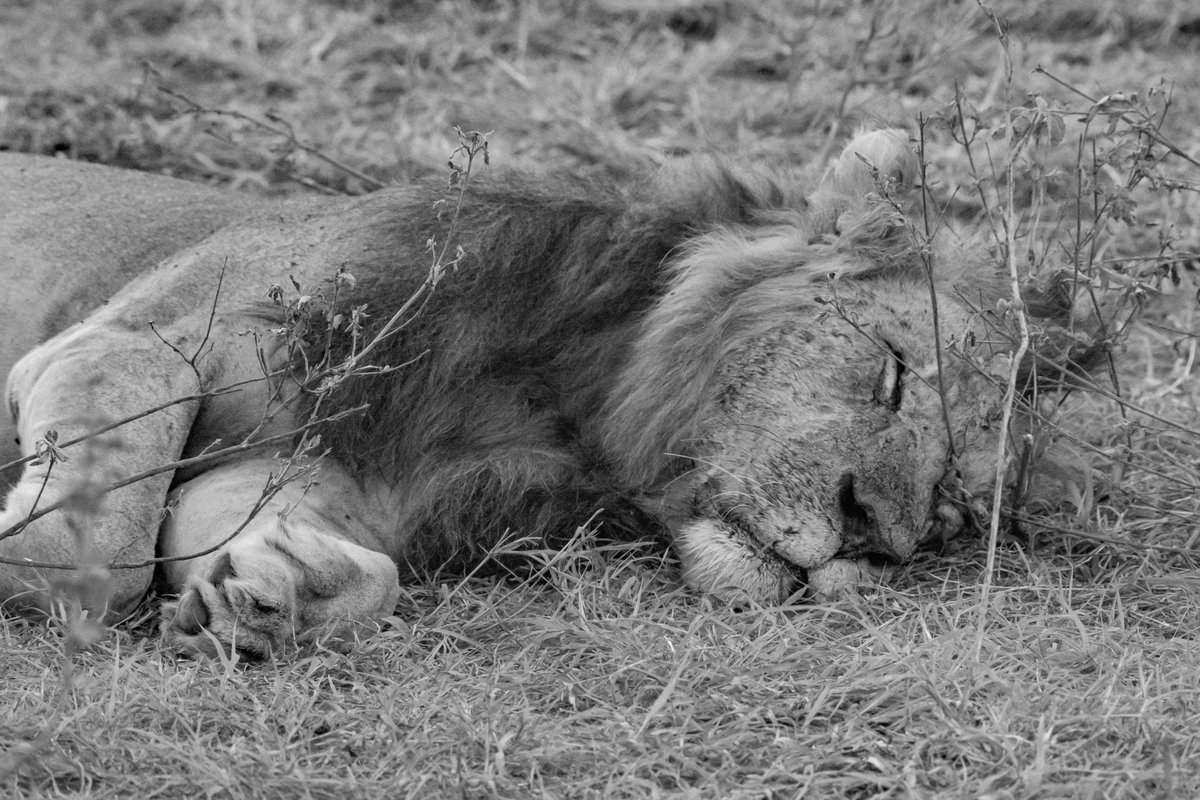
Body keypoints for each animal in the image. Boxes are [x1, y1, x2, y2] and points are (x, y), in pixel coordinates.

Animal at [0, 131, 1087, 658]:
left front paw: (283, 598)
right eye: (893, 371)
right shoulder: (129, 344)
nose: (870, 536)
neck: (563, 398)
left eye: (946, 516)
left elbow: (302, 556)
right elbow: (99, 555)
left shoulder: (307, 476)